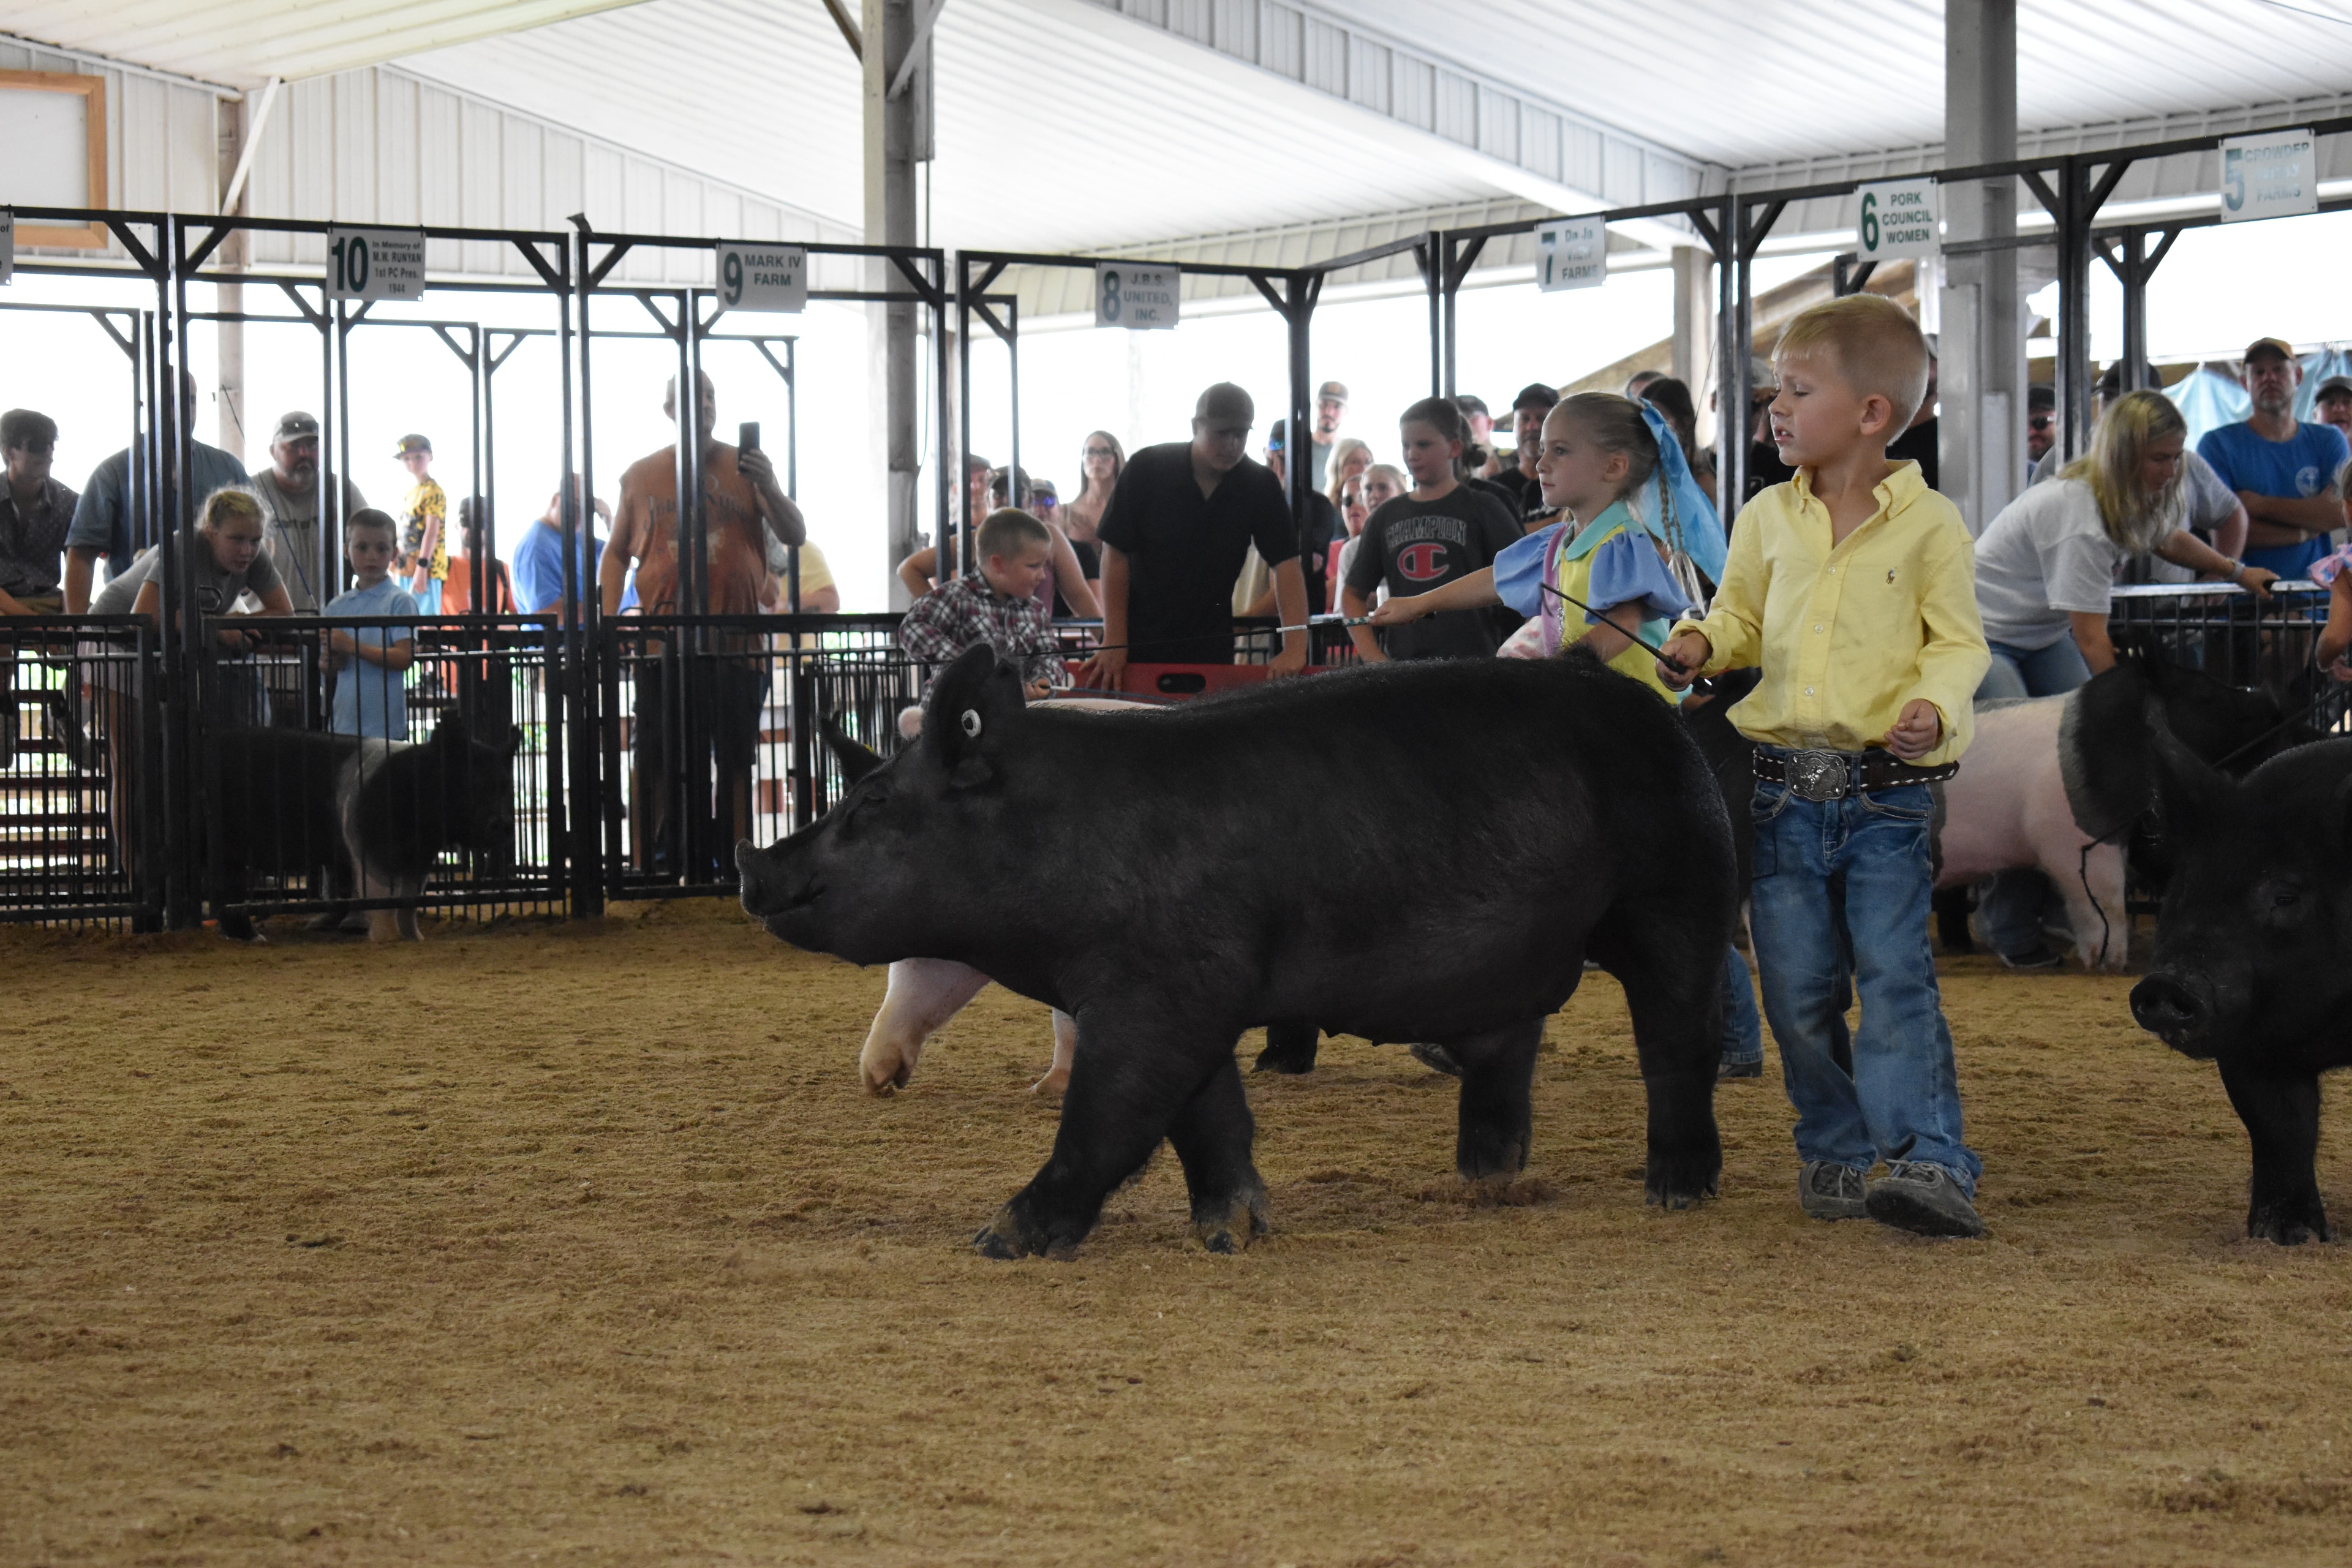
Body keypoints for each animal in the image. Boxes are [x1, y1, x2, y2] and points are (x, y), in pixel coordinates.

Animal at [211, 714, 520, 941]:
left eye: (507, 786)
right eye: (470, 783)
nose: (503, 823)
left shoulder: (419, 859)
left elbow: (409, 902)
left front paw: (416, 939)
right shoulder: (369, 846)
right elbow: (382, 898)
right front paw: (386, 939)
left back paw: (249, 938)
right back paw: (257, 938)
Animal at [739, 644, 1736, 1258]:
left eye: (872, 804)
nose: (754, 862)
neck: (1054, 837)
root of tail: (1661, 711)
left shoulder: (1160, 992)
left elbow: (1111, 1115)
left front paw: (997, 1241)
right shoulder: (1194, 994)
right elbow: (1207, 1118)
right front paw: (1235, 1232)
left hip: (1676, 894)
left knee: (1677, 1041)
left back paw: (1675, 1193)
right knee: (1506, 1050)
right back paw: (1482, 1185)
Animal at [2127, 728, 2352, 1245]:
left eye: (2285, 895)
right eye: (2183, 889)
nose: (2169, 983)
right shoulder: (2244, 1039)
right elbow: (2280, 1126)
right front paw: (2289, 1236)